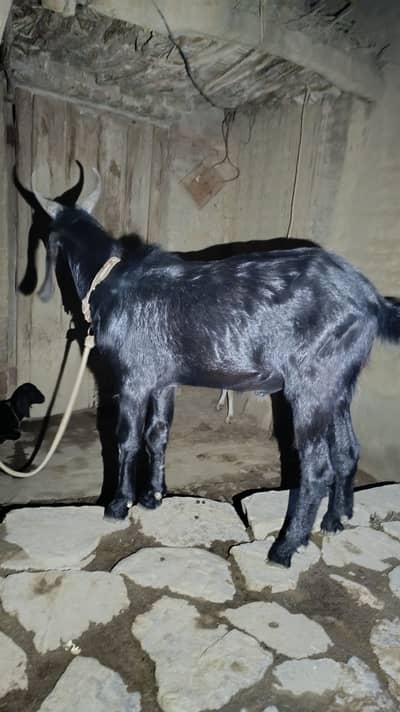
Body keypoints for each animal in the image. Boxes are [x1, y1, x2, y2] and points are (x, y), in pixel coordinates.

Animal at [31, 170, 400, 568]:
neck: (111, 281)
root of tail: (371, 299)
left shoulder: (133, 378)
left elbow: (126, 438)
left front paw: (118, 504)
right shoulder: (164, 381)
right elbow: (157, 434)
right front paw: (153, 497)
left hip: (311, 386)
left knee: (317, 468)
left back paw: (285, 548)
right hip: (338, 384)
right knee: (348, 449)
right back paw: (335, 520)